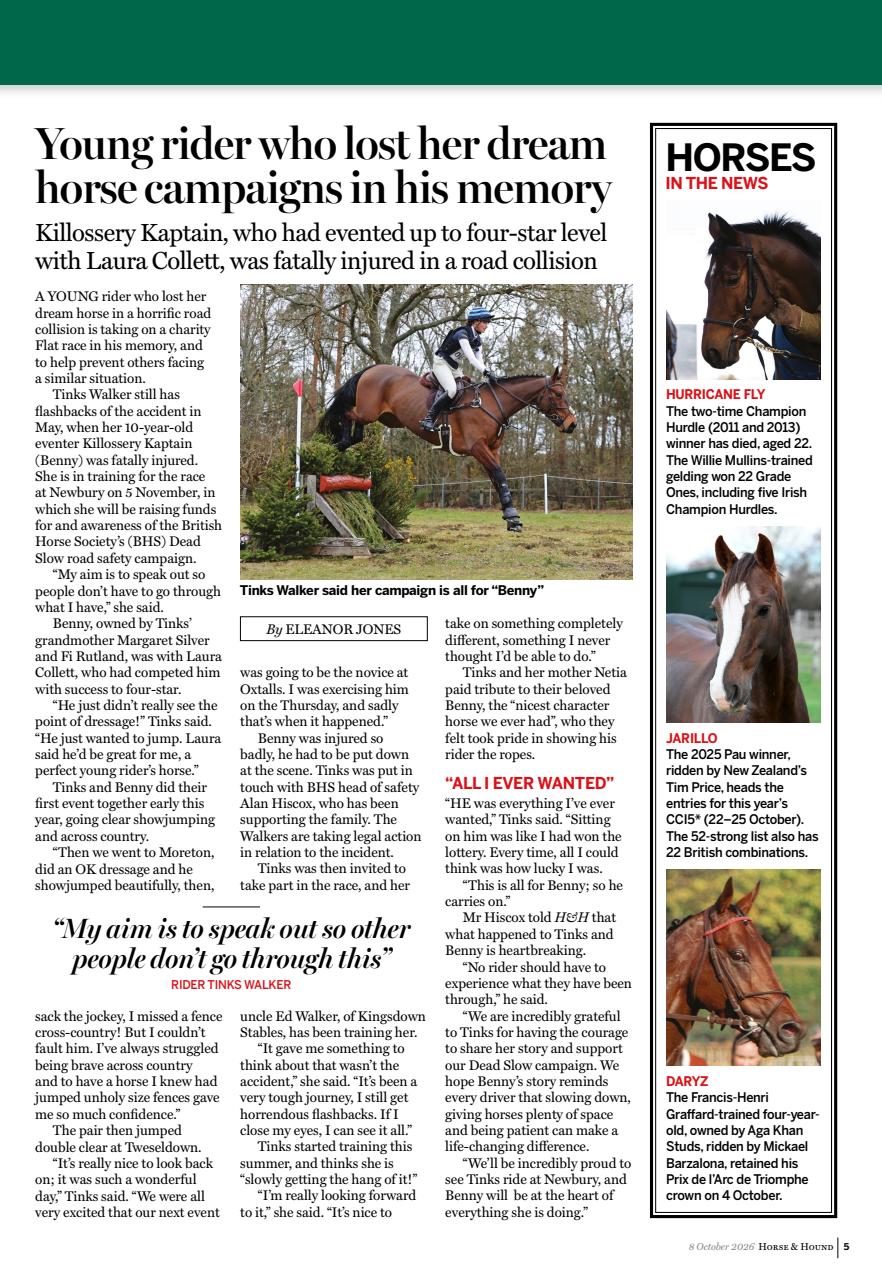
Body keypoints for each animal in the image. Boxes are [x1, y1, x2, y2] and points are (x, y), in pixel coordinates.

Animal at [318, 364, 577, 532]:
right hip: (368, 411)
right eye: (558, 393)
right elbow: (500, 476)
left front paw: (508, 516)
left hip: (384, 418)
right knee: (346, 413)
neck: (493, 404)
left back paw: (343, 443)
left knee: (356, 428)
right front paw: (513, 519)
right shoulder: (478, 448)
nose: (572, 424)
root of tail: (372, 369)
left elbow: (497, 479)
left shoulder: (492, 451)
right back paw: (338, 441)